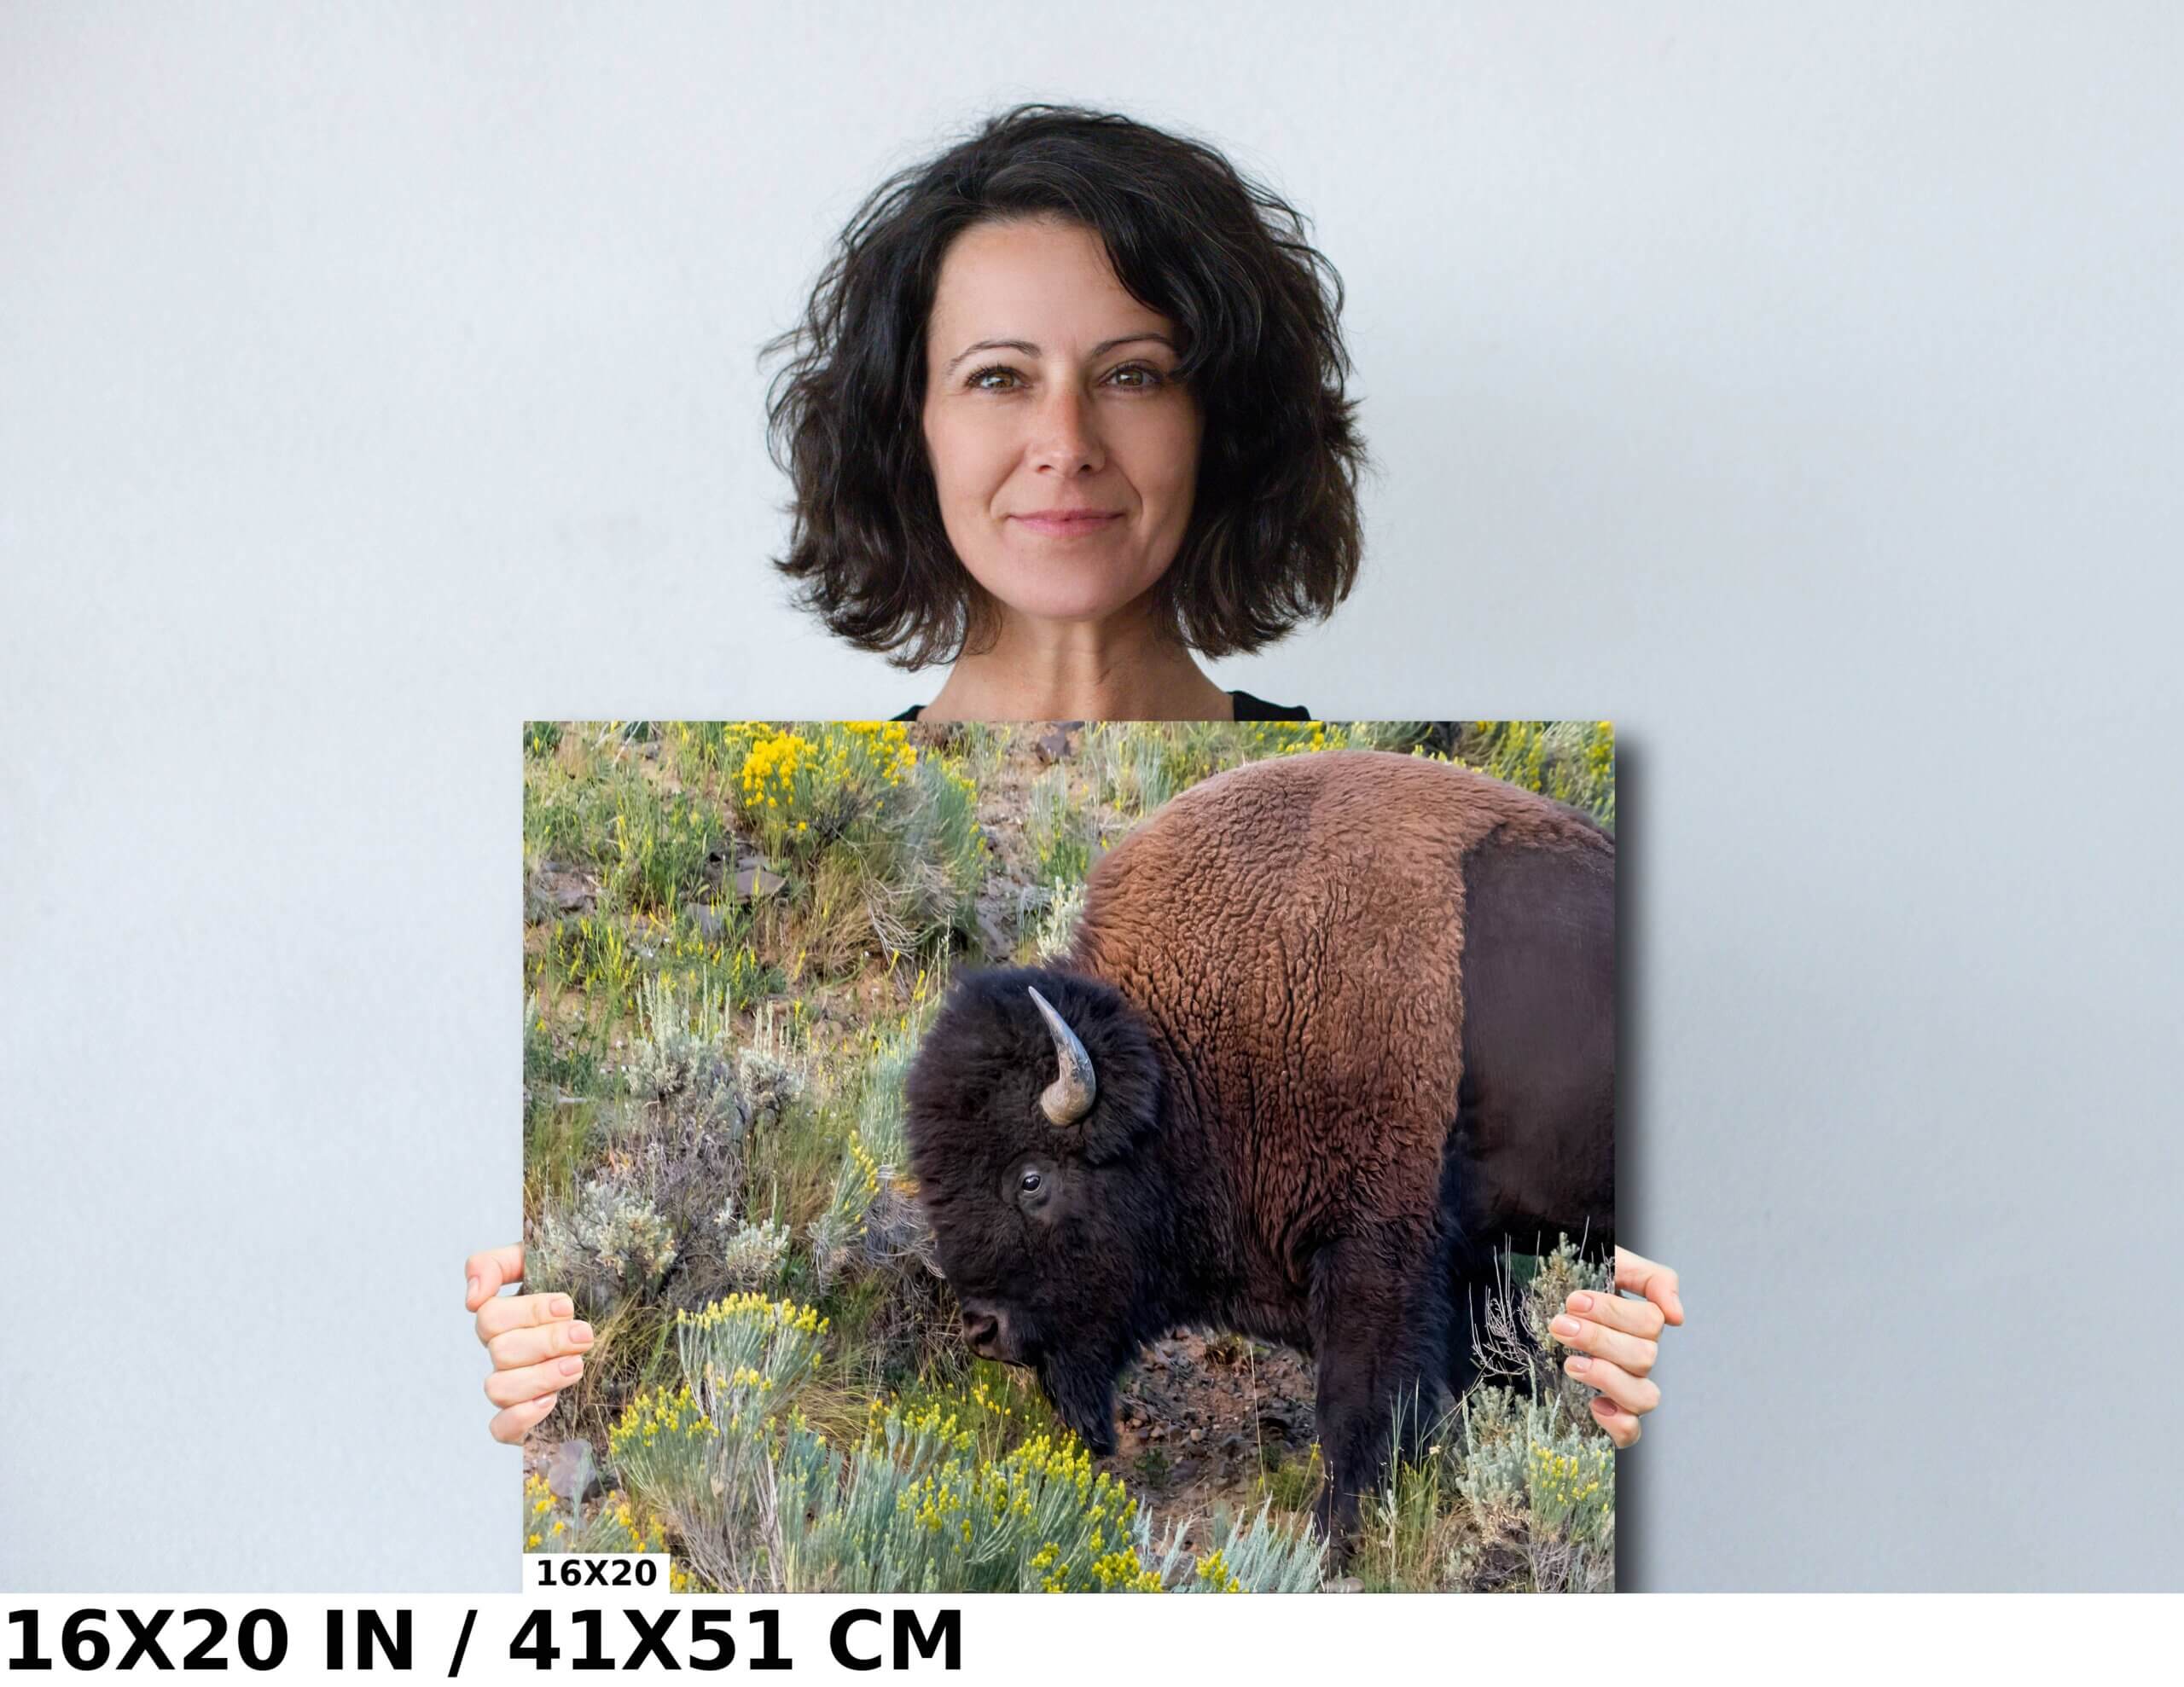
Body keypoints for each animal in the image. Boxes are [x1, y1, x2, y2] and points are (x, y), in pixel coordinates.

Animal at [902, 747, 1614, 1546]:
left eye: (1031, 1179)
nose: (982, 1328)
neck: (1179, 1063)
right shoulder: (1458, 1261)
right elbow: (1498, 1362)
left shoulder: (1375, 1252)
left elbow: (1356, 1406)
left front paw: (1333, 1537)